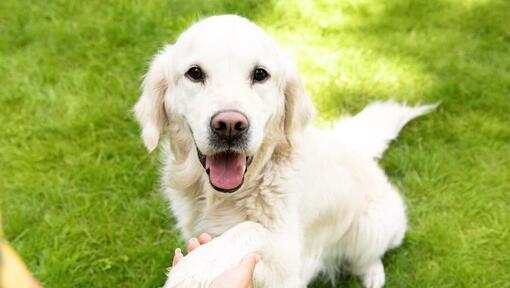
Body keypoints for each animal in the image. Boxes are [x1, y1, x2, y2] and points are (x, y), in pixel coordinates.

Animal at [134, 15, 434, 288]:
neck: (226, 196)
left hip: (373, 223)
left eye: (260, 74)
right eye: (194, 73)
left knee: (370, 256)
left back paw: (373, 275)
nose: (230, 126)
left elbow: (251, 229)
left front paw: (193, 268)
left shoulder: (289, 262)